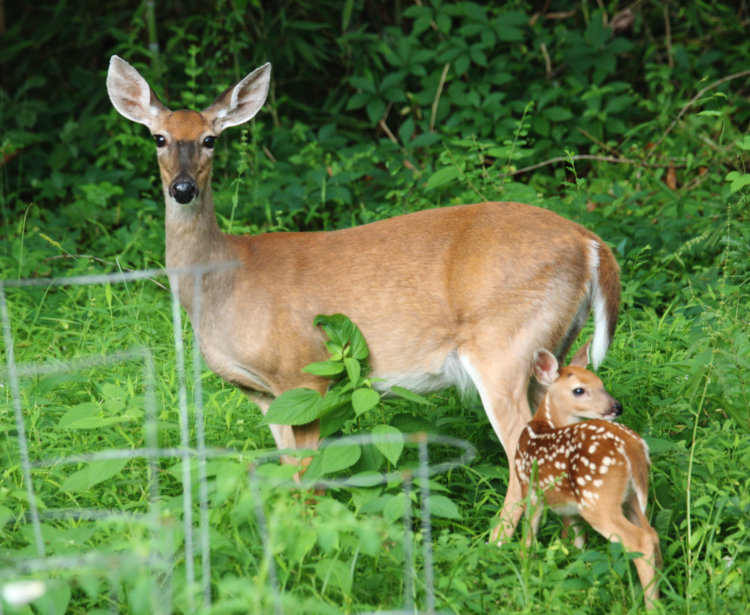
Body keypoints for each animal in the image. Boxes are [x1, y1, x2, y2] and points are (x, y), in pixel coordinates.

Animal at [105, 55, 621, 540]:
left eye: (211, 139)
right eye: (158, 137)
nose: (183, 188)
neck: (224, 283)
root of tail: (590, 243)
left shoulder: (303, 374)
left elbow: (309, 479)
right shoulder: (267, 396)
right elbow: (289, 475)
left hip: (504, 344)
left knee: (522, 451)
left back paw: (500, 544)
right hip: (551, 354)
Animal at [507, 342, 661, 608]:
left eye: (601, 383)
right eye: (579, 390)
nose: (616, 407)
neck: (542, 425)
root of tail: (633, 447)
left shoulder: (530, 488)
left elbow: (528, 538)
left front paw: (525, 572)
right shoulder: (571, 507)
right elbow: (579, 545)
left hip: (598, 498)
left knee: (641, 541)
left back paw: (651, 606)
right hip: (631, 497)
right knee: (653, 534)